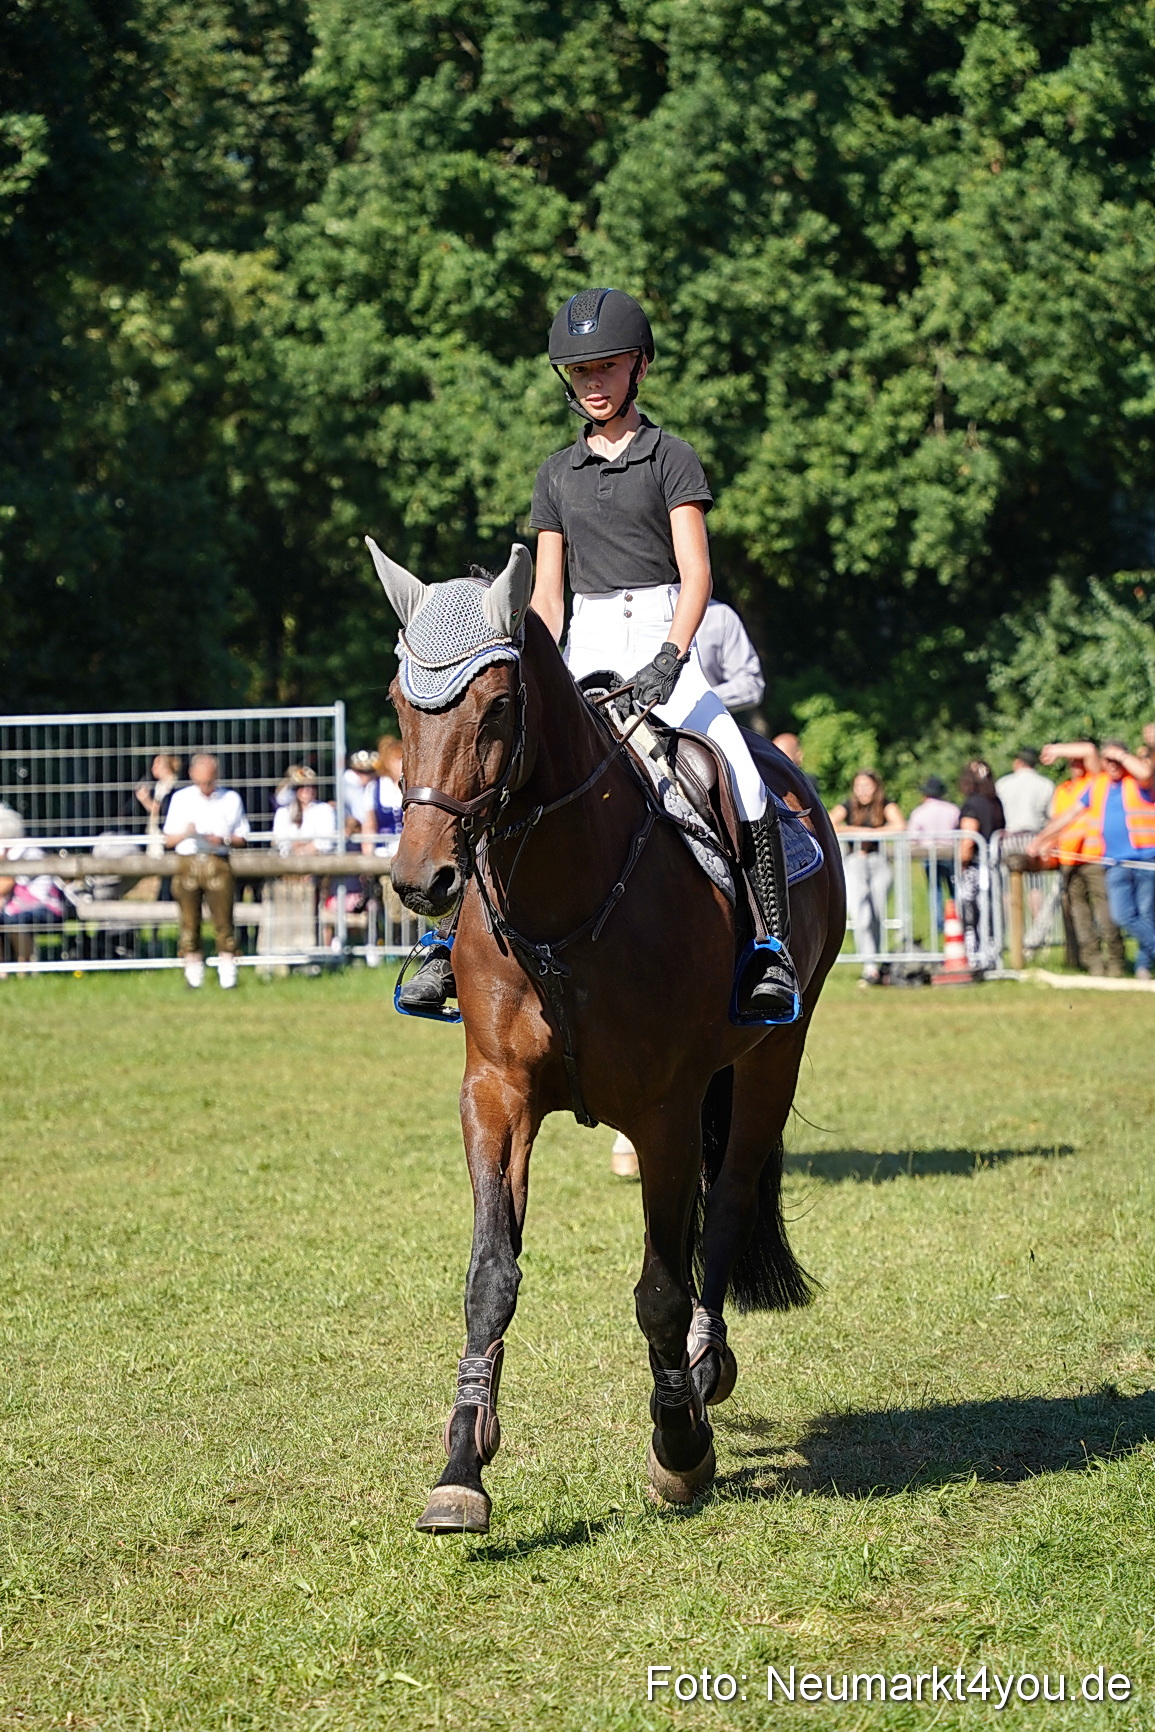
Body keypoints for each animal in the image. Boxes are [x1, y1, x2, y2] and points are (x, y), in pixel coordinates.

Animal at [368, 538, 846, 1533]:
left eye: (497, 706)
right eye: (399, 703)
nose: (423, 881)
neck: (564, 904)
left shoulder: (664, 1113)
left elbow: (661, 1287)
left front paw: (680, 1445)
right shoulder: (495, 1096)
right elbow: (489, 1275)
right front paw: (461, 1466)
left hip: (772, 1060)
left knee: (725, 1209)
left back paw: (705, 1367)